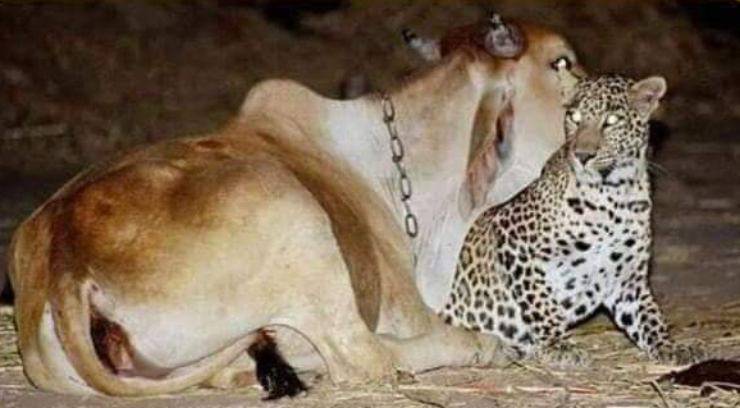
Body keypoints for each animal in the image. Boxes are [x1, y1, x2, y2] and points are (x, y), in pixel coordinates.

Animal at [440, 73, 705, 366]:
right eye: (575, 117)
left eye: (612, 120)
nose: (582, 155)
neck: (614, 197)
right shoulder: (512, 238)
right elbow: (540, 300)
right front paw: (558, 345)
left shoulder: (627, 282)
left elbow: (649, 315)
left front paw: (669, 345)